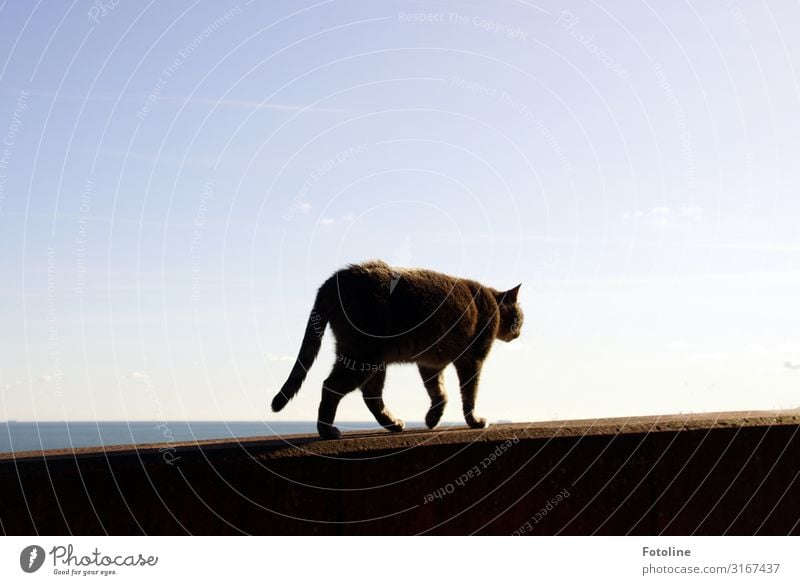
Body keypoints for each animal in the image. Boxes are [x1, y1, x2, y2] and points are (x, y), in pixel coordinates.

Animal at [272, 260, 524, 438]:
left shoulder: (430, 364)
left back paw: (393, 423)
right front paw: (474, 421)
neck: (493, 303)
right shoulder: (472, 360)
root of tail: (337, 278)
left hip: (374, 361)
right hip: (363, 357)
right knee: (330, 387)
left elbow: (439, 393)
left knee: (371, 396)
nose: (520, 331)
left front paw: (433, 418)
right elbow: (469, 394)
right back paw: (327, 431)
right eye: (520, 316)